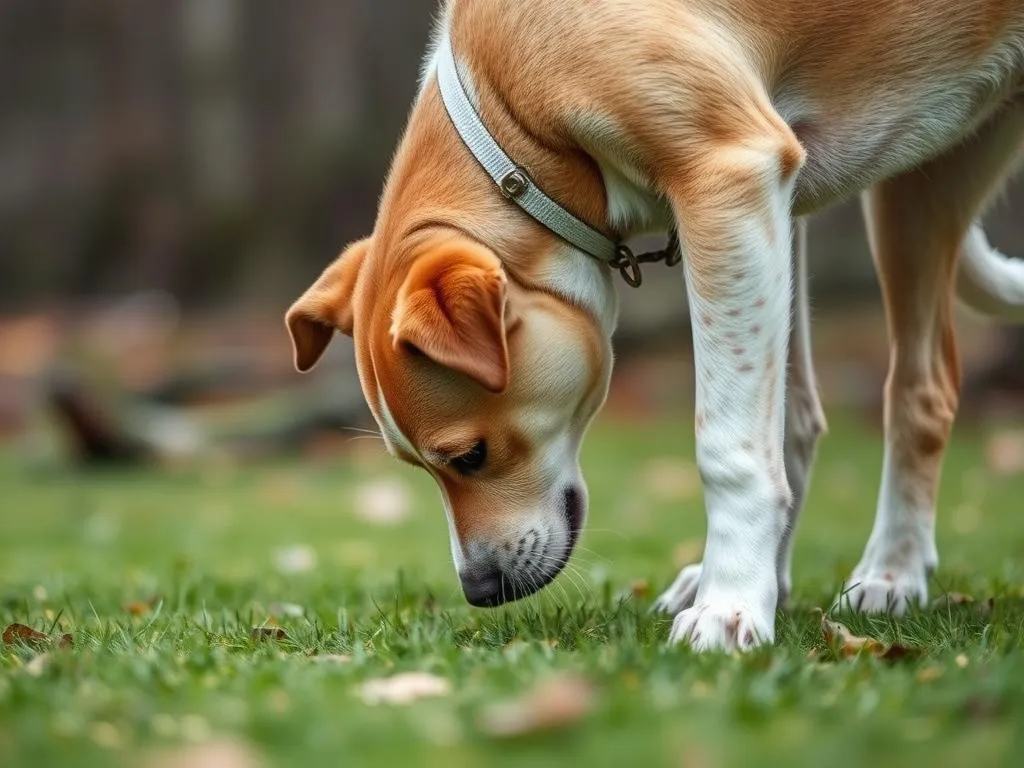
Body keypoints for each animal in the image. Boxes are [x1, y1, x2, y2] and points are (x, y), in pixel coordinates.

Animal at [284, 0, 1024, 651]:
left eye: (470, 456)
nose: (480, 590)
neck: (509, 119)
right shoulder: (775, 212)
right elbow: (784, 426)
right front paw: (755, 586)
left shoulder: (728, 180)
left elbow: (729, 447)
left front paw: (729, 607)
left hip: (915, 194)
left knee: (922, 389)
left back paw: (892, 571)